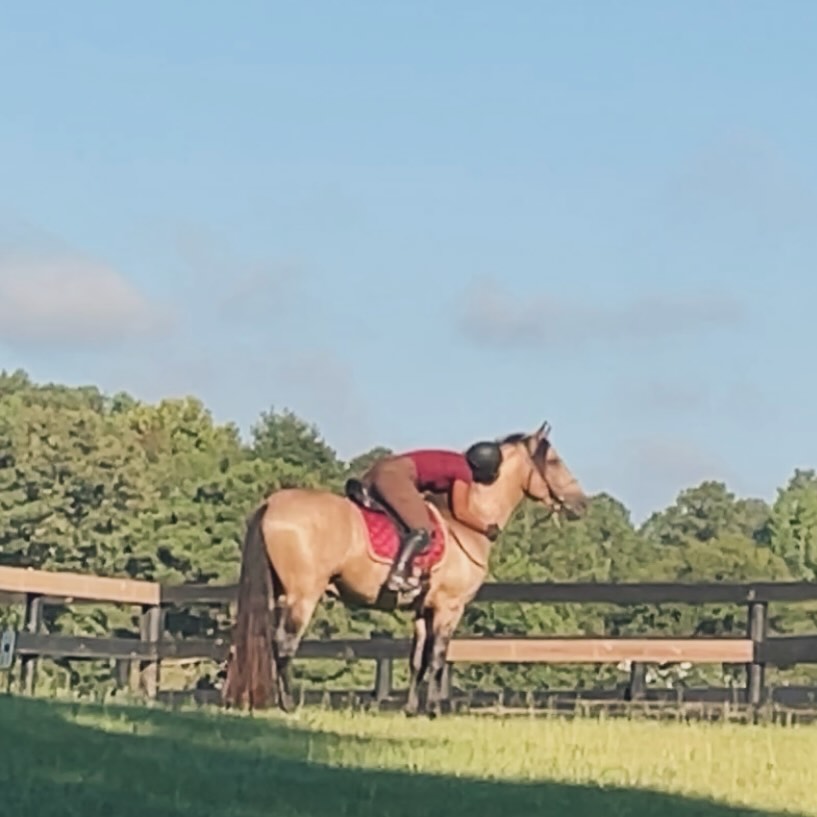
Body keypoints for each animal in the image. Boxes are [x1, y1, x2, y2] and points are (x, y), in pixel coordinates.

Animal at [221, 421, 589, 718]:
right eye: (553, 460)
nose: (582, 503)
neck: (464, 525)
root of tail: (271, 503)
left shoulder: (423, 611)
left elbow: (417, 661)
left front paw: (412, 709)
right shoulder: (449, 608)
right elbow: (438, 658)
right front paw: (434, 710)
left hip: (279, 593)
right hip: (303, 595)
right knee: (284, 644)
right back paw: (287, 704)